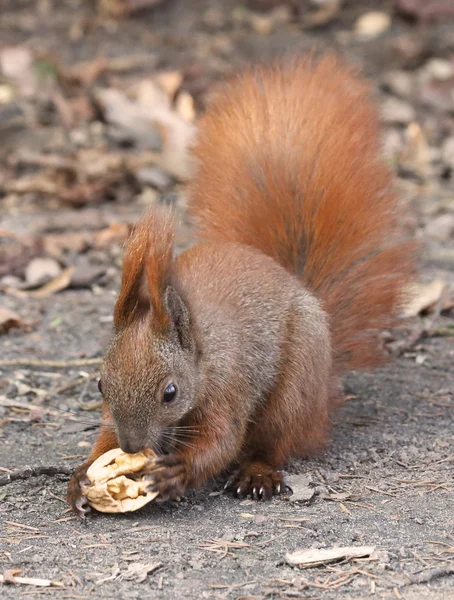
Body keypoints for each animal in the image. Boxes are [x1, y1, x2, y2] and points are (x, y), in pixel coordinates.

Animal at [66, 56, 414, 516]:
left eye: (171, 393)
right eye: (100, 385)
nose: (133, 446)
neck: (201, 353)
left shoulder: (226, 389)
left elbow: (222, 441)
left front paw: (176, 473)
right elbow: (104, 436)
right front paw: (81, 477)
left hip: (294, 388)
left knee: (274, 443)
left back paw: (258, 474)